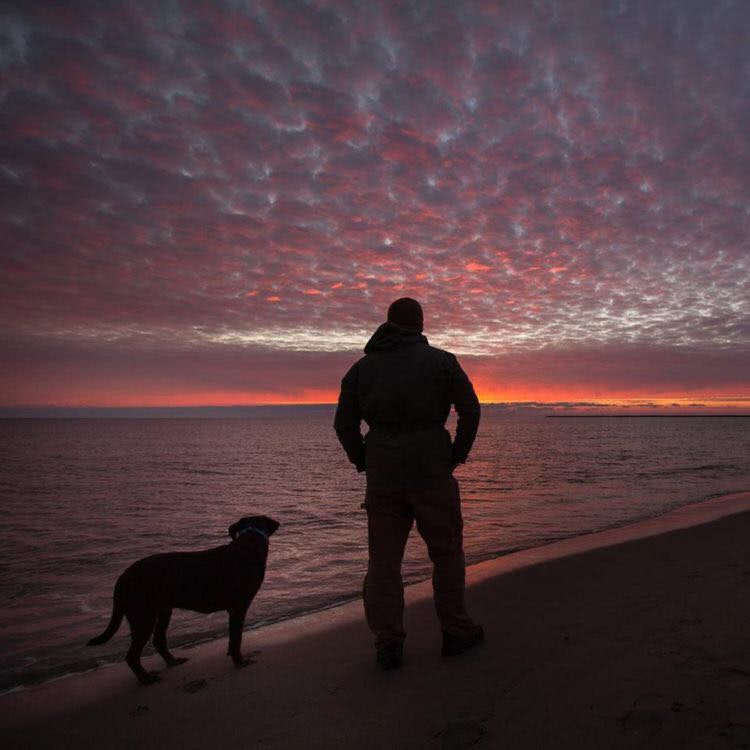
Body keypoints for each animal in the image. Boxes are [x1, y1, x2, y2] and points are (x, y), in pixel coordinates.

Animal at [88, 516, 280, 688]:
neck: (248, 546)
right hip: (143, 615)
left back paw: (172, 661)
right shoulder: (238, 608)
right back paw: (146, 679)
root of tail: (122, 577)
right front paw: (239, 660)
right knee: (132, 655)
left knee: (158, 640)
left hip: (163, 610)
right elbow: (236, 638)